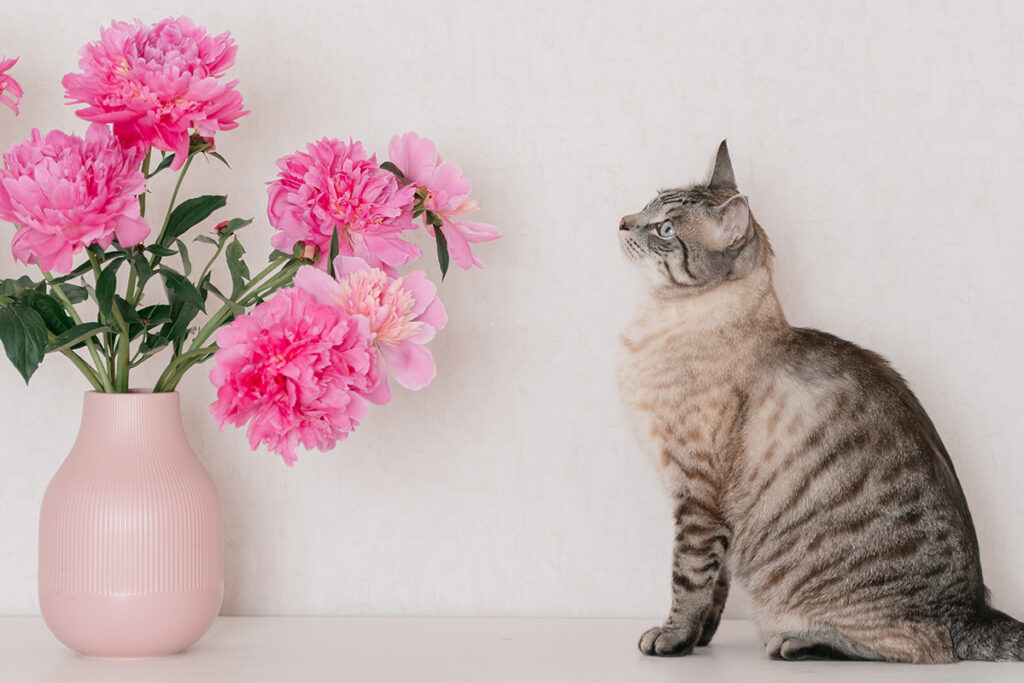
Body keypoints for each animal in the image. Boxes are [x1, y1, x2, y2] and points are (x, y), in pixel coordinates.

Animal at [614, 140, 1024, 663]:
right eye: (647, 205)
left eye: (664, 229)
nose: (622, 223)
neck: (654, 323)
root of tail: (973, 609)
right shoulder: (712, 511)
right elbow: (716, 588)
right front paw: (701, 639)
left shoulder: (698, 496)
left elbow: (688, 579)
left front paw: (672, 639)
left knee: (919, 648)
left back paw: (798, 642)